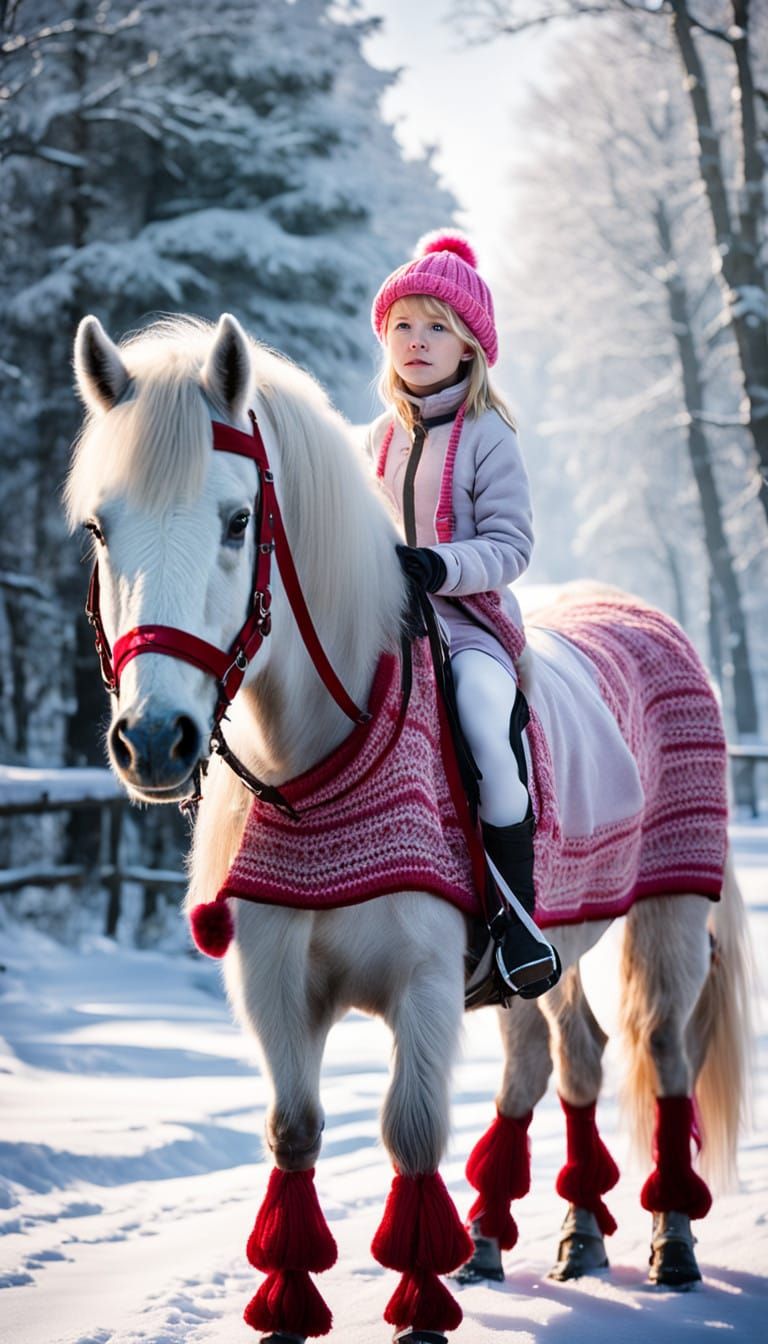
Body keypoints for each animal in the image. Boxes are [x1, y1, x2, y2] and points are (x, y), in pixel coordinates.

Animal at [67, 311, 751, 1344]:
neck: (323, 762)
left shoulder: (425, 987)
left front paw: (421, 1311)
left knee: (661, 1056)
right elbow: (294, 1132)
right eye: (103, 527)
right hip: (548, 953)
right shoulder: (276, 989)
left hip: (665, 918)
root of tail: (652, 619)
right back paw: (538, 1237)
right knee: (559, 1063)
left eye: (237, 521)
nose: (153, 739)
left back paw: (669, 1242)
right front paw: (289, 1307)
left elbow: (414, 1131)